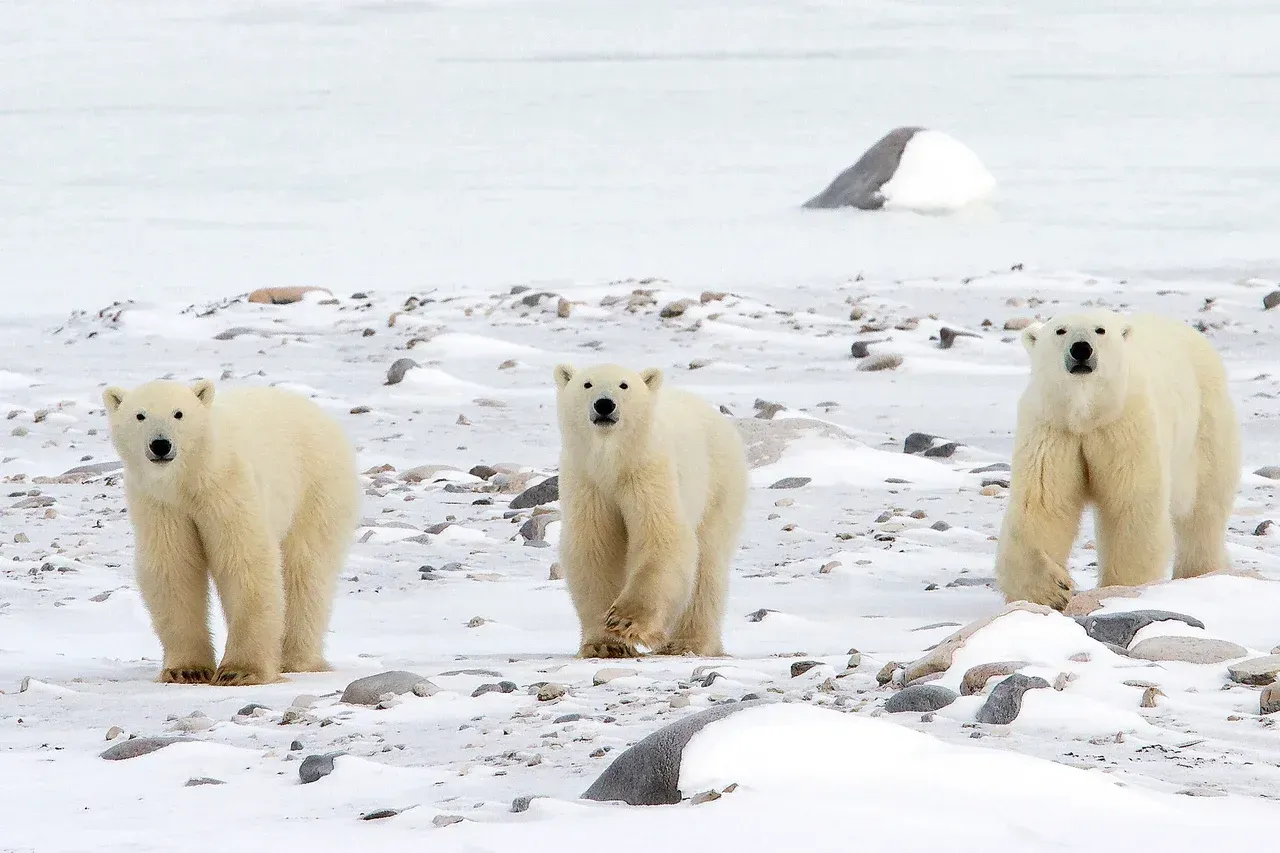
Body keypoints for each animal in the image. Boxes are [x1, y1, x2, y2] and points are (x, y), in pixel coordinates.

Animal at [102, 378, 360, 686]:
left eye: (178, 413)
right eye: (140, 415)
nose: (161, 445)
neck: (190, 478)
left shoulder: (227, 487)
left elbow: (243, 559)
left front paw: (240, 670)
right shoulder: (161, 504)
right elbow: (174, 567)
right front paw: (186, 670)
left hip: (316, 487)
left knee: (305, 568)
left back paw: (296, 659)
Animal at [553, 362, 749, 658]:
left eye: (624, 385)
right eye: (587, 384)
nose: (604, 404)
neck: (613, 462)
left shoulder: (648, 472)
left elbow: (661, 536)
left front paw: (624, 619)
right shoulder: (587, 482)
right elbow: (595, 547)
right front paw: (604, 645)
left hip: (719, 485)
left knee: (707, 563)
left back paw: (687, 643)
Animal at [995, 309, 1241, 610]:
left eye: (1100, 330)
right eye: (1060, 330)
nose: (1081, 349)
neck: (1086, 416)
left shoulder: (1124, 427)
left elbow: (1131, 505)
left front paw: (1121, 589)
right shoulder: (1053, 430)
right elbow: (1043, 504)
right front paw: (1051, 590)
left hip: (1204, 425)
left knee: (1204, 509)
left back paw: (1200, 572)